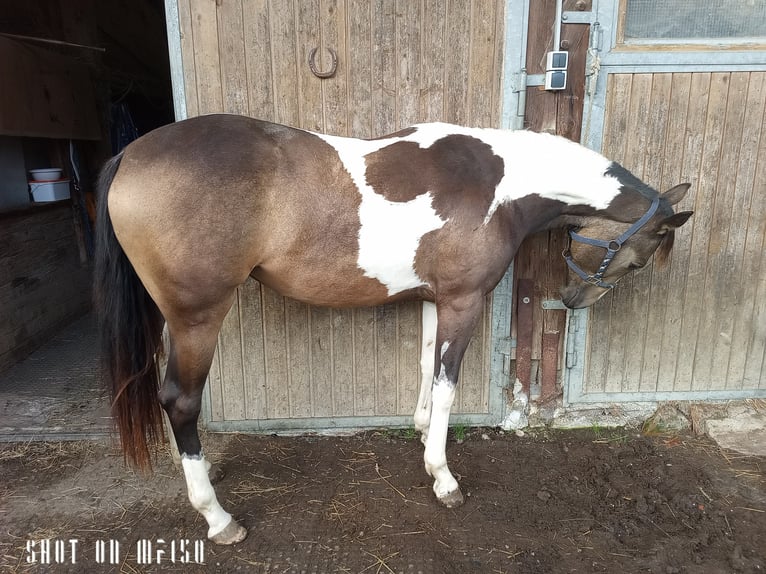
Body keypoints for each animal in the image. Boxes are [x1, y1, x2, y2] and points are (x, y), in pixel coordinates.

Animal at [94, 115, 696, 548]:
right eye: (639, 260)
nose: (573, 301)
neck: (502, 186)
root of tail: (131, 155)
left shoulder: (434, 298)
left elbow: (428, 369)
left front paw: (423, 437)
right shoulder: (463, 302)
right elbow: (448, 385)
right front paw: (443, 477)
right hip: (197, 317)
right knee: (180, 400)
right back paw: (218, 518)